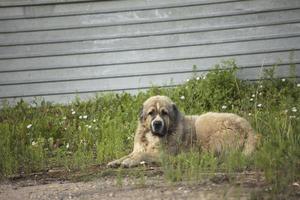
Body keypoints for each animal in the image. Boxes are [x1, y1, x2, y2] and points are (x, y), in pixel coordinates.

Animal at [106, 95, 256, 167]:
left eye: (164, 113)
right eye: (151, 113)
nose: (157, 123)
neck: (153, 137)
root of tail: (248, 128)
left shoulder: (163, 154)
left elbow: (141, 155)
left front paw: (128, 162)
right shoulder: (139, 149)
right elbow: (129, 155)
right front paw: (116, 161)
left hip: (203, 121)